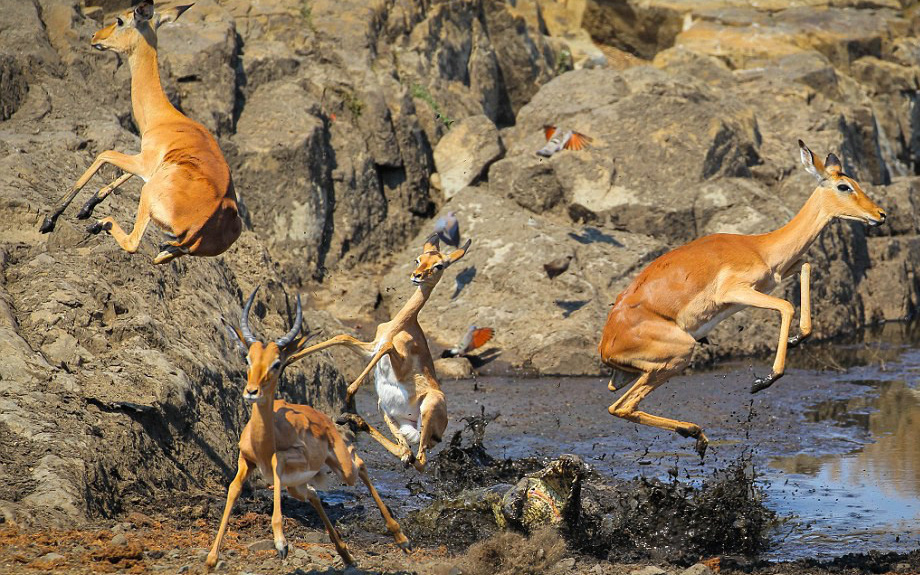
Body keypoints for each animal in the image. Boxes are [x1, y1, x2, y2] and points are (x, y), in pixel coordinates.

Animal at [39, 0, 241, 264]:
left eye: (121, 20)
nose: (95, 36)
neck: (165, 119)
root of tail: (201, 228)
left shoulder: (145, 163)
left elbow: (104, 154)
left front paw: (50, 219)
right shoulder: (146, 161)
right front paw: (87, 207)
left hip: (147, 195)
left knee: (133, 243)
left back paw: (99, 224)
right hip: (167, 240)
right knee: (157, 256)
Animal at [210, 288, 412, 572]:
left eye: (277, 363)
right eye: (247, 358)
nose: (251, 391)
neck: (265, 440)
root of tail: (323, 417)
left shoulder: (288, 458)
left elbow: (276, 461)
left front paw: (281, 543)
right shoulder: (245, 460)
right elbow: (233, 489)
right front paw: (211, 559)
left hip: (342, 468)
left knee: (359, 463)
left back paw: (401, 539)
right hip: (298, 485)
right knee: (315, 494)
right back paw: (347, 555)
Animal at [288, 234, 470, 472]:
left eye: (439, 265)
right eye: (418, 259)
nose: (417, 276)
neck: (401, 326)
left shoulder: (394, 358)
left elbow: (386, 347)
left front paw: (349, 393)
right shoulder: (370, 348)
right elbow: (343, 338)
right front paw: (287, 358)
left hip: (427, 408)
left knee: (419, 461)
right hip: (387, 410)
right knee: (406, 453)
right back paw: (350, 419)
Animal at [600, 141, 888, 460]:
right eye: (844, 186)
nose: (881, 214)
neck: (760, 247)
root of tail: (607, 343)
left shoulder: (776, 276)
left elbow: (806, 264)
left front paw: (796, 338)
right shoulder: (737, 292)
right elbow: (786, 305)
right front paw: (763, 380)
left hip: (635, 373)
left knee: (618, 403)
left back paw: (697, 436)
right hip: (679, 354)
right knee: (620, 406)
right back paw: (697, 434)